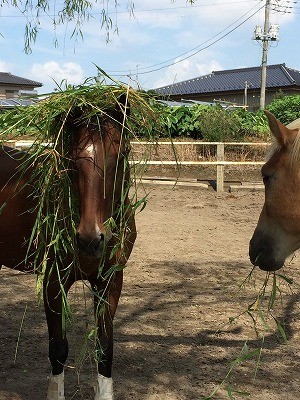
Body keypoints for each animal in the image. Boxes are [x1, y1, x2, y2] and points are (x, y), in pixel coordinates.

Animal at [0, 83, 145, 396]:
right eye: (70, 158)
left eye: (122, 154)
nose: (90, 239)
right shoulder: (54, 283)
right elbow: (58, 350)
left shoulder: (109, 282)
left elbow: (104, 349)